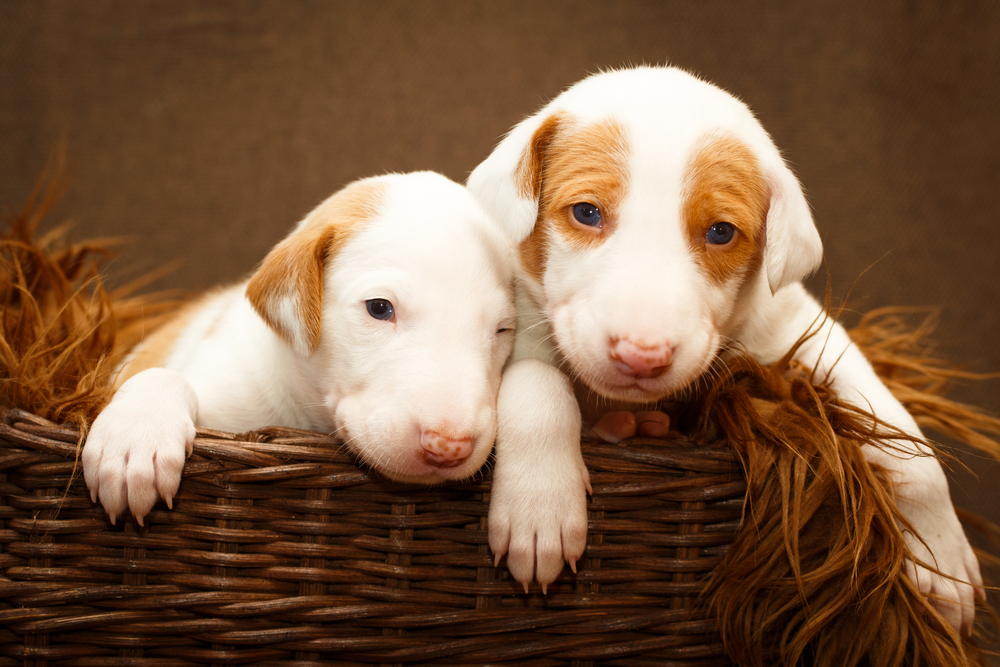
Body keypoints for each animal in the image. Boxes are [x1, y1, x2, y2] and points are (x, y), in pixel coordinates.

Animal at [83, 172, 516, 528]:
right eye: (379, 308)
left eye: (503, 330)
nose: (450, 446)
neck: (303, 417)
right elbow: (164, 375)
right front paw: (136, 434)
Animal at [470, 65, 984, 636]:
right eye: (585, 212)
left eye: (721, 232)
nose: (642, 354)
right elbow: (537, 381)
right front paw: (539, 506)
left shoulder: (798, 330)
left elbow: (896, 429)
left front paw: (941, 554)